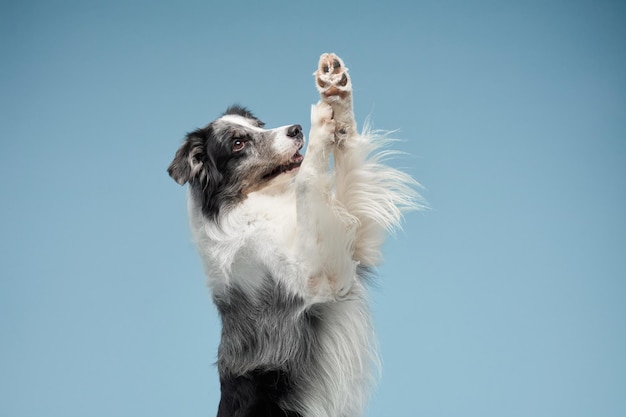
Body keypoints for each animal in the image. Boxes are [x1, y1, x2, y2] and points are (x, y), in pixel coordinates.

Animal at [166, 53, 420, 414]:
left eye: (259, 125)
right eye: (238, 143)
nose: (296, 129)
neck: (257, 205)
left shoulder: (354, 245)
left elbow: (344, 156)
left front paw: (336, 90)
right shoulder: (315, 278)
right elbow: (305, 181)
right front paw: (320, 123)